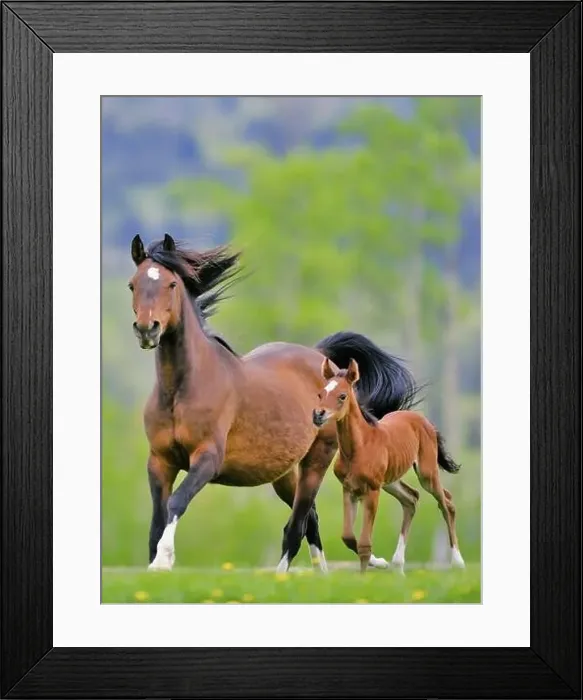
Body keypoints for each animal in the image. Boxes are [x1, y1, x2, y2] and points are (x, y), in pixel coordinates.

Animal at [127, 234, 419, 573]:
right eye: (133, 284)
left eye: (172, 284)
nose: (147, 329)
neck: (182, 391)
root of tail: (323, 359)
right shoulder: (160, 461)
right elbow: (157, 519)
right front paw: (155, 564)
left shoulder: (207, 458)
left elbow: (177, 501)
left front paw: (163, 560)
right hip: (284, 473)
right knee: (310, 520)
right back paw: (333, 571)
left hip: (316, 461)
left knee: (297, 525)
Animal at [312, 357, 465, 573]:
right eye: (321, 393)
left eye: (342, 396)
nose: (318, 414)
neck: (359, 447)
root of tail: (424, 420)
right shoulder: (349, 489)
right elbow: (348, 537)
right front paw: (379, 563)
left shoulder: (371, 491)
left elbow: (364, 544)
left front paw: (366, 575)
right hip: (391, 481)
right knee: (411, 499)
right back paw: (397, 565)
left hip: (426, 473)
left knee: (447, 504)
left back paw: (458, 562)